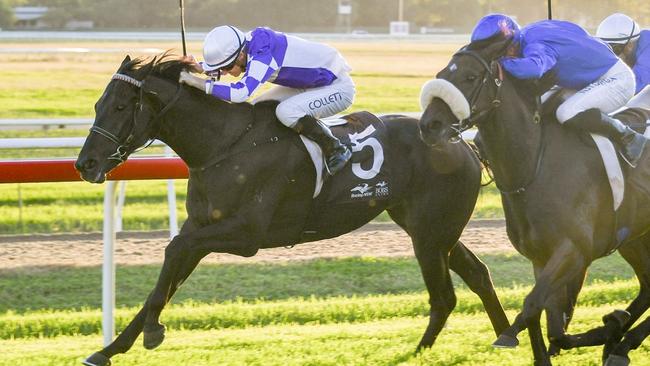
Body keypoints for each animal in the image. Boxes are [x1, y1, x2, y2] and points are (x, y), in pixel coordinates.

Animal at [76, 55, 508, 366]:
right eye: (96, 104)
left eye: (120, 106)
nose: (85, 164)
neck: (224, 144)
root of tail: (461, 141)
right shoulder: (201, 229)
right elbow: (164, 281)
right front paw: (110, 349)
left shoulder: (246, 233)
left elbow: (172, 251)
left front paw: (152, 332)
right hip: (433, 229)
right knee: (477, 275)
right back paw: (505, 335)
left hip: (430, 234)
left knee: (444, 295)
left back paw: (426, 351)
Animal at [418, 38, 648, 366]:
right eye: (441, 73)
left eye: (470, 77)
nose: (429, 125)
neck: (535, 166)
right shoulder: (540, 257)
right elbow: (548, 324)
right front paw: (611, 327)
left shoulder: (574, 251)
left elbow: (533, 305)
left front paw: (507, 335)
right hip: (636, 240)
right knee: (649, 287)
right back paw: (621, 342)